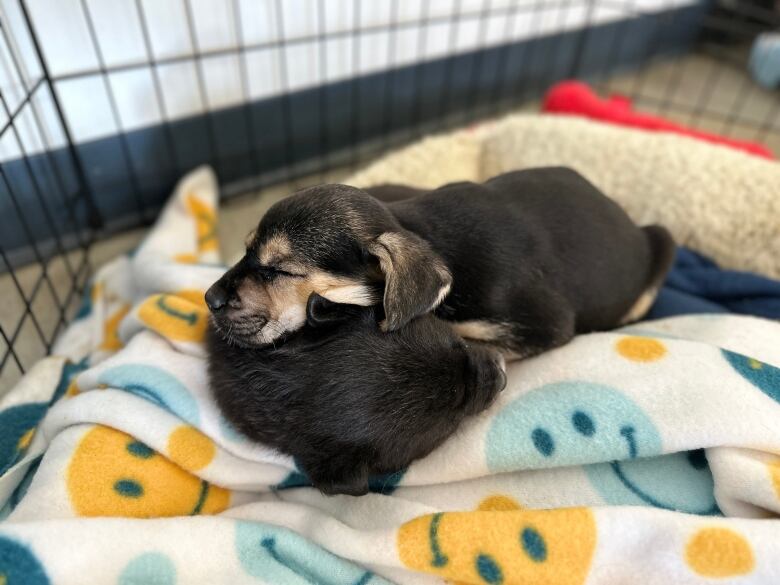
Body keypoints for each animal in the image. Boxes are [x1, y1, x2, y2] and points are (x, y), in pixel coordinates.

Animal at [207, 165, 676, 356]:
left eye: (280, 270)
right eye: (246, 250)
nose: (209, 298)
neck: (415, 227)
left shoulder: (544, 325)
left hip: (663, 244)